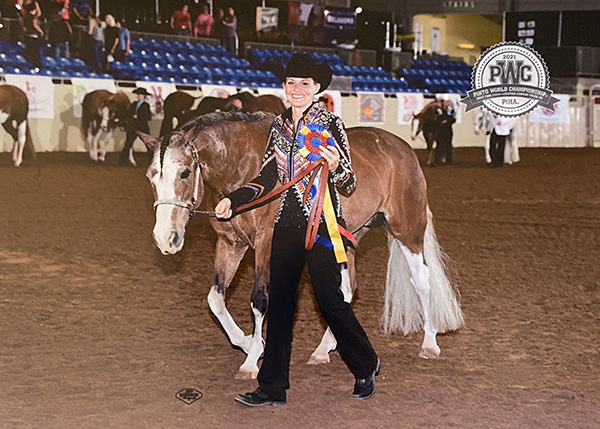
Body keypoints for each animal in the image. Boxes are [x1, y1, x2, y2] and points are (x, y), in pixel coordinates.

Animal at [137, 113, 464, 378]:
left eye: (184, 172)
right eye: (150, 177)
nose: (165, 238)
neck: (246, 170)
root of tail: (401, 148)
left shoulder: (265, 244)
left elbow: (260, 300)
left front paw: (252, 361)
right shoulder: (230, 244)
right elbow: (215, 299)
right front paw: (249, 342)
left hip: (407, 229)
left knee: (422, 281)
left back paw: (429, 344)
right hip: (346, 237)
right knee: (347, 289)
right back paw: (323, 350)